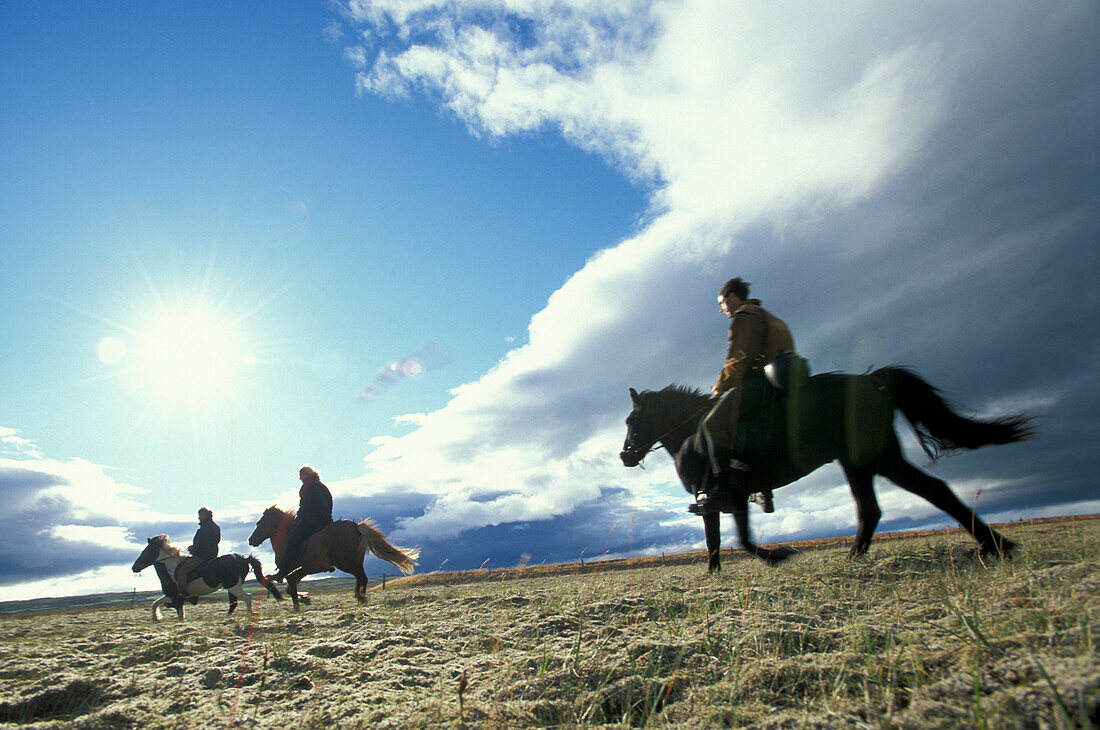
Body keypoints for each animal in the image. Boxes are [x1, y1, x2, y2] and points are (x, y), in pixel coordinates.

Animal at [247, 507, 418, 611]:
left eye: (259, 523)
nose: (251, 540)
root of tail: (356, 526)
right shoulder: (302, 571)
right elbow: (291, 588)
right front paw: (305, 599)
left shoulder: (290, 571)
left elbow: (292, 590)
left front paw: (298, 606)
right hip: (355, 561)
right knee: (362, 577)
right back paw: (359, 597)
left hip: (345, 562)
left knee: (361, 577)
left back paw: (360, 597)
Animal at [624, 367, 1034, 571]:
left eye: (632, 420)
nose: (625, 456)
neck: (692, 433)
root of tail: (871, 381)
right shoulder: (728, 499)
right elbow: (722, 542)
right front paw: (717, 574)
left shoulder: (722, 495)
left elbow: (736, 540)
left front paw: (780, 556)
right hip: (866, 461)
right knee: (884, 505)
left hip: (872, 459)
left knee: (925, 494)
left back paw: (993, 546)